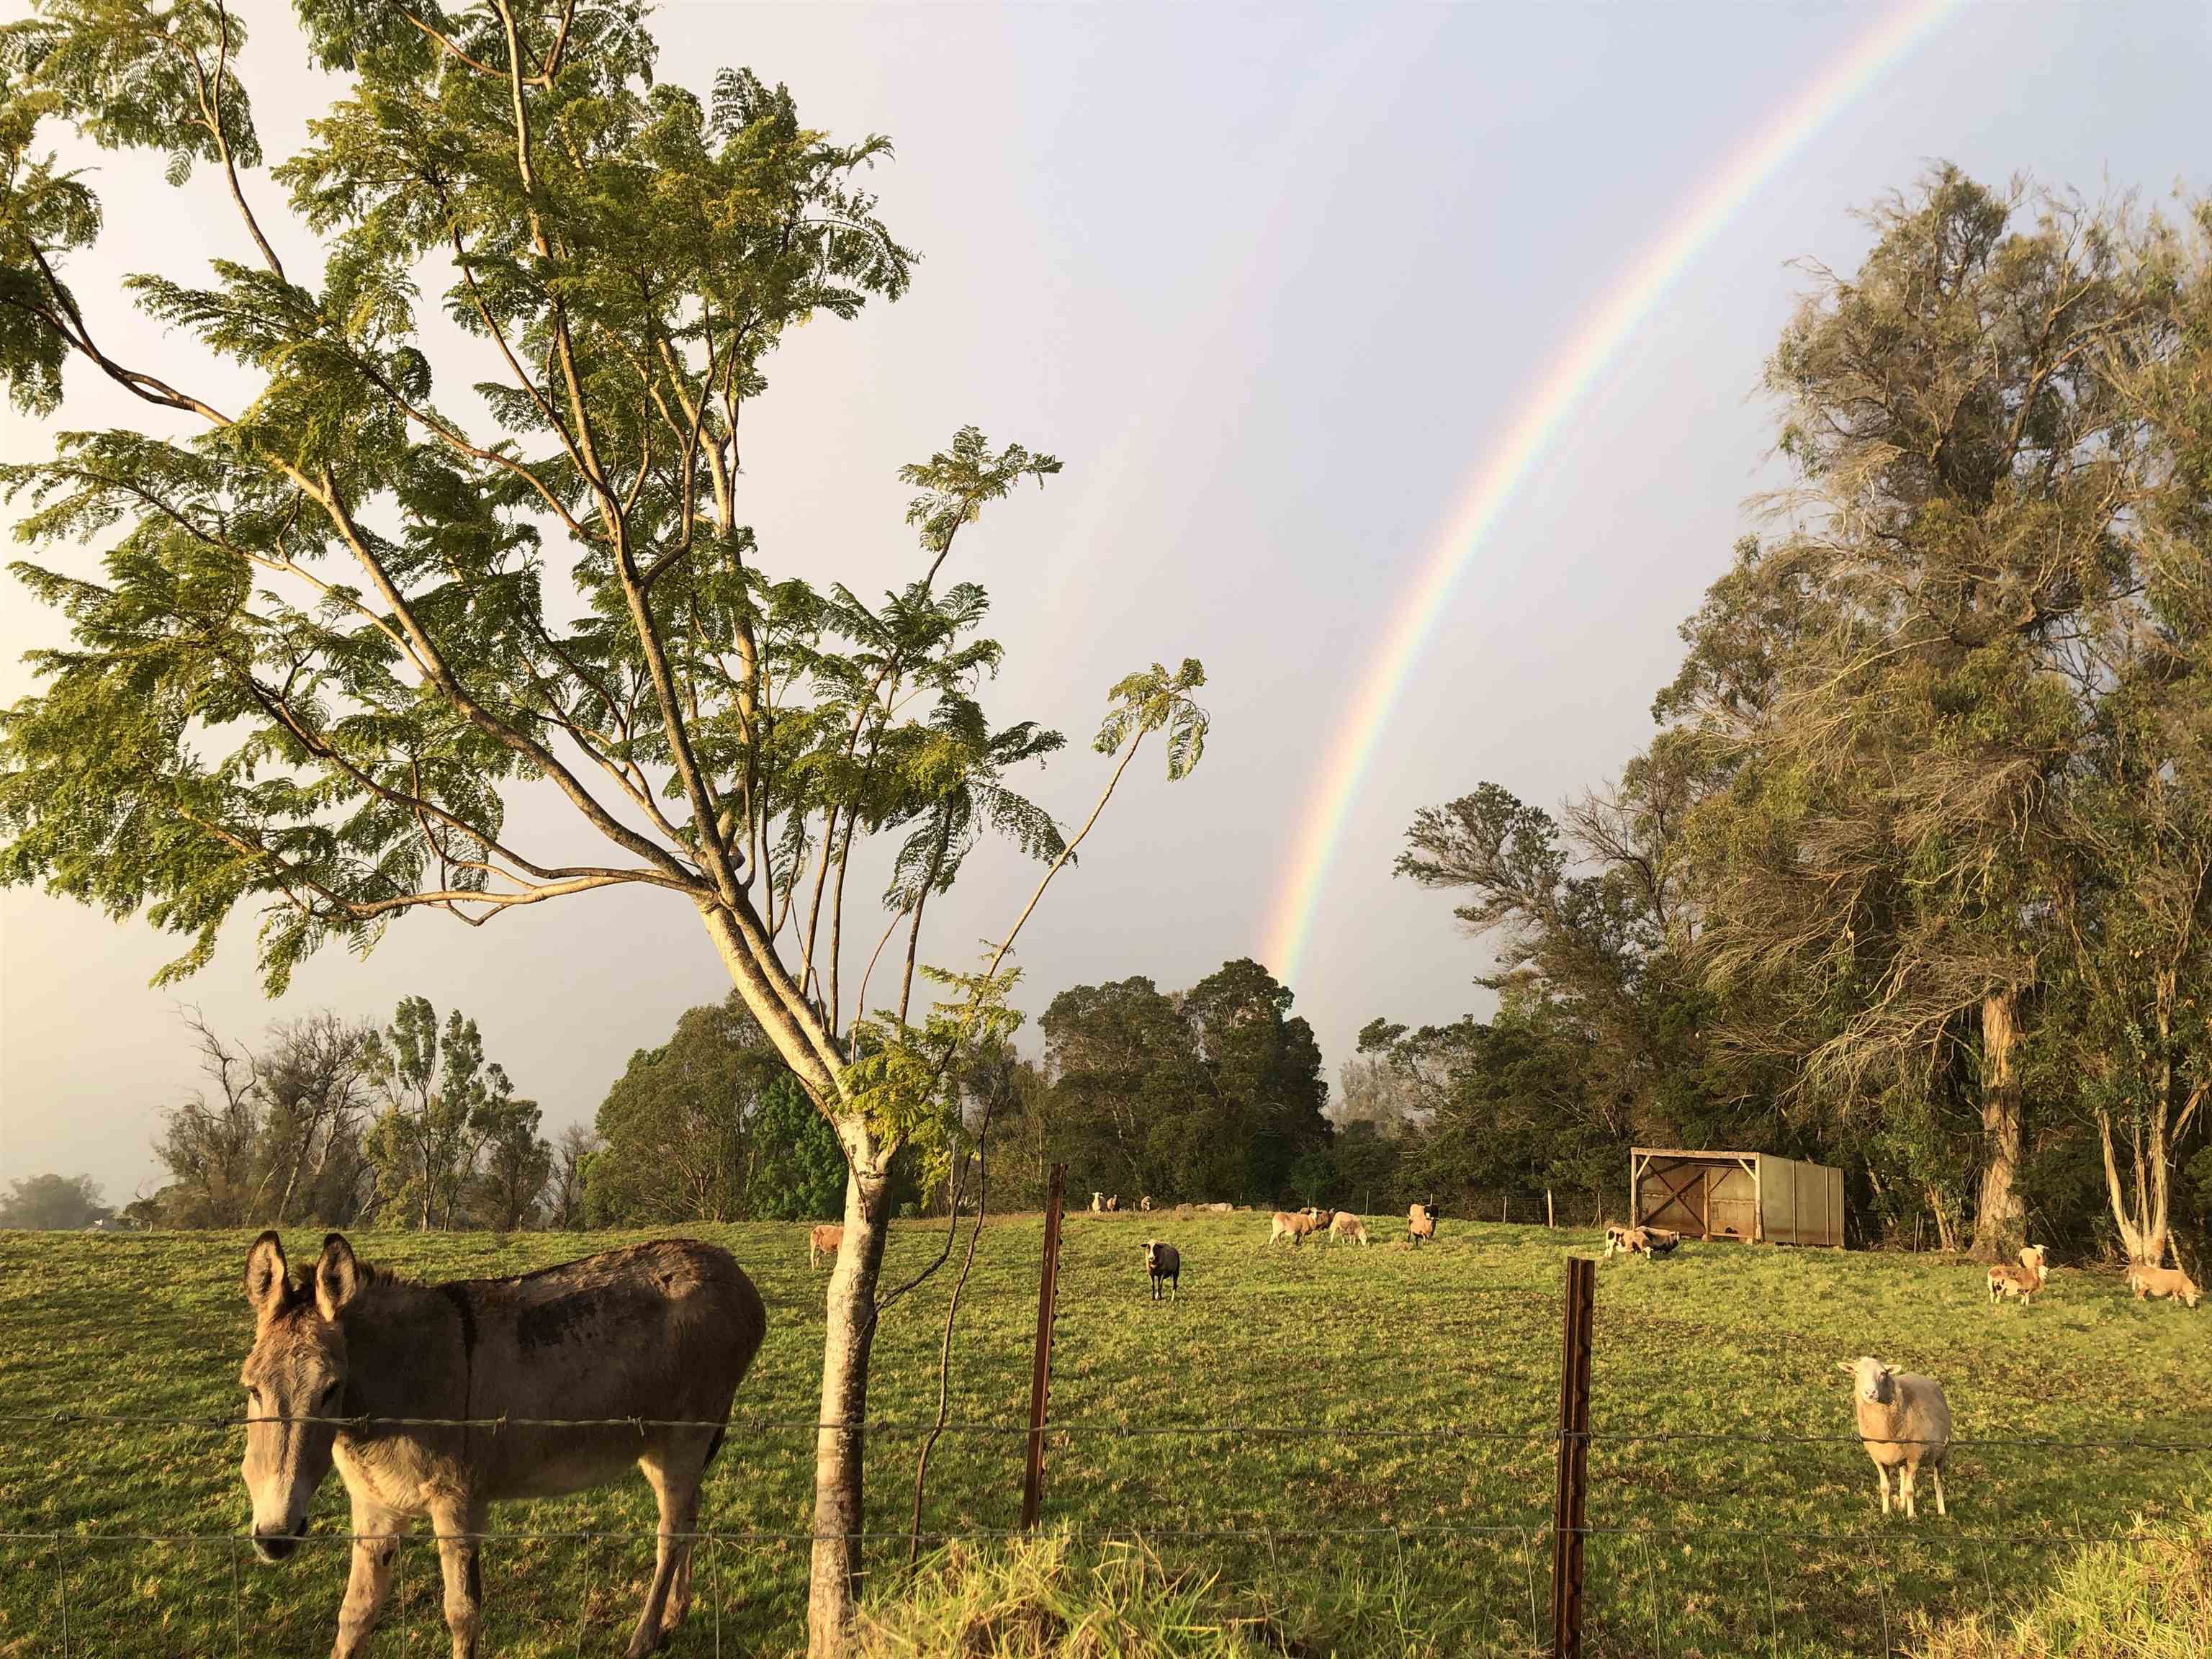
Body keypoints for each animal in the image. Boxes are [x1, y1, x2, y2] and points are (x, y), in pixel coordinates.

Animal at [1840, 1354, 1946, 1530]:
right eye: (1856, 1372)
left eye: (1883, 1374)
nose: (1871, 1393)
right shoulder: (1878, 1458)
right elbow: (1885, 1488)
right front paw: (1885, 1513)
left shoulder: (1915, 1458)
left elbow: (1911, 1490)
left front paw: (1911, 1517)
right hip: (1903, 1458)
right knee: (1904, 1474)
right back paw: (1902, 1503)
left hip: (1943, 1452)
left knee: (1937, 1481)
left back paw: (1941, 1511)